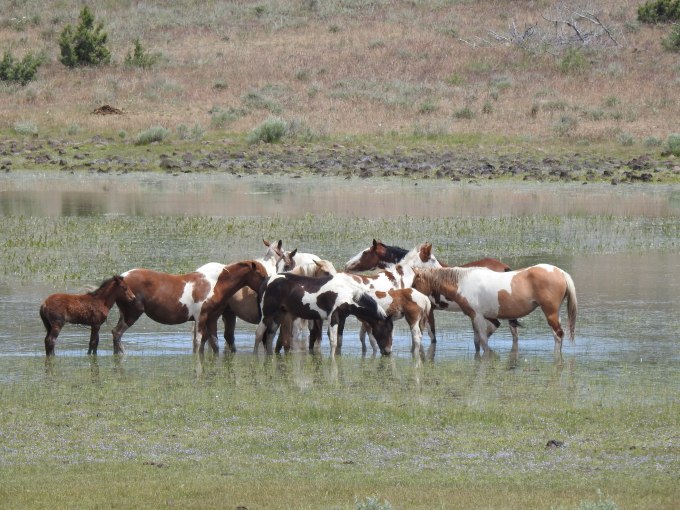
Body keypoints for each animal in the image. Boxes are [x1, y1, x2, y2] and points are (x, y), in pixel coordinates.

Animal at [112, 260, 268, 355]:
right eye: (261, 275)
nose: (266, 289)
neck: (215, 284)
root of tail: (122, 278)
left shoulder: (212, 319)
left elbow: (215, 344)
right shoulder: (201, 318)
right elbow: (197, 343)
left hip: (124, 314)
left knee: (115, 333)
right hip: (132, 314)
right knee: (117, 334)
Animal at [255, 272, 393, 357]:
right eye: (387, 330)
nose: (388, 351)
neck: (348, 293)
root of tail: (266, 281)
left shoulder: (342, 318)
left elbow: (339, 341)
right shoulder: (334, 317)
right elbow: (333, 341)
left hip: (278, 315)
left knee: (269, 337)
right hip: (267, 315)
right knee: (259, 334)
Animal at [411, 264, 577, 355]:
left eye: (414, 283)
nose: (410, 296)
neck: (463, 282)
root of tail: (560, 272)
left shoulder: (478, 317)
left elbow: (483, 341)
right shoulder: (476, 318)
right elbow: (477, 341)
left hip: (550, 313)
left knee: (558, 335)